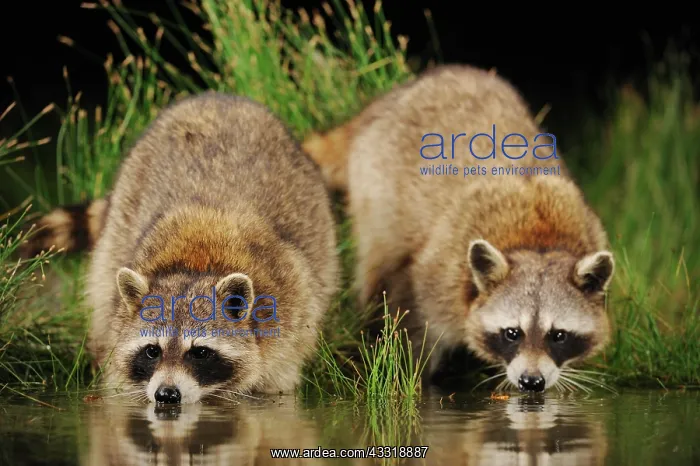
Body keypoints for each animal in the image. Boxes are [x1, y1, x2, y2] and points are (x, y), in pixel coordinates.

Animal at [22, 92, 339, 403]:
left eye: (200, 352)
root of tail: (217, 97)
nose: (166, 395)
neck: (196, 264)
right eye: (152, 351)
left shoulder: (288, 316)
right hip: (118, 224)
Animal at [302, 64, 614, 393]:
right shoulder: (440, 274)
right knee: (379, 266)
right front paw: (412, 375)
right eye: (512, 333)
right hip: (375, 189)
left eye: (559, 335)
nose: (531, 382)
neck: (538, 240)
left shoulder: (590, 227)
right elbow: (415, 325)